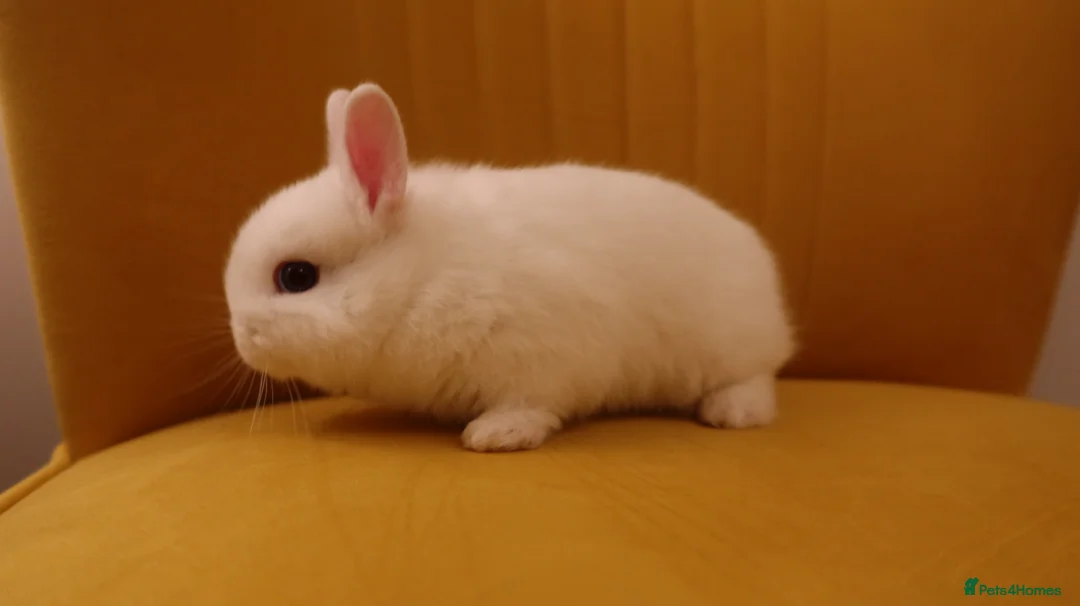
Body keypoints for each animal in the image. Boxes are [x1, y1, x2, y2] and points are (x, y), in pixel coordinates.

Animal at [223, 81, 796, 452]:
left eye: (296, 277)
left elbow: (533, 402)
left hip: (731, 347)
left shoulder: (544, 355)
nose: (242, 340)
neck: (418, 278)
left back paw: (730, 414)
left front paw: (495, 435)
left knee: (758, 380)